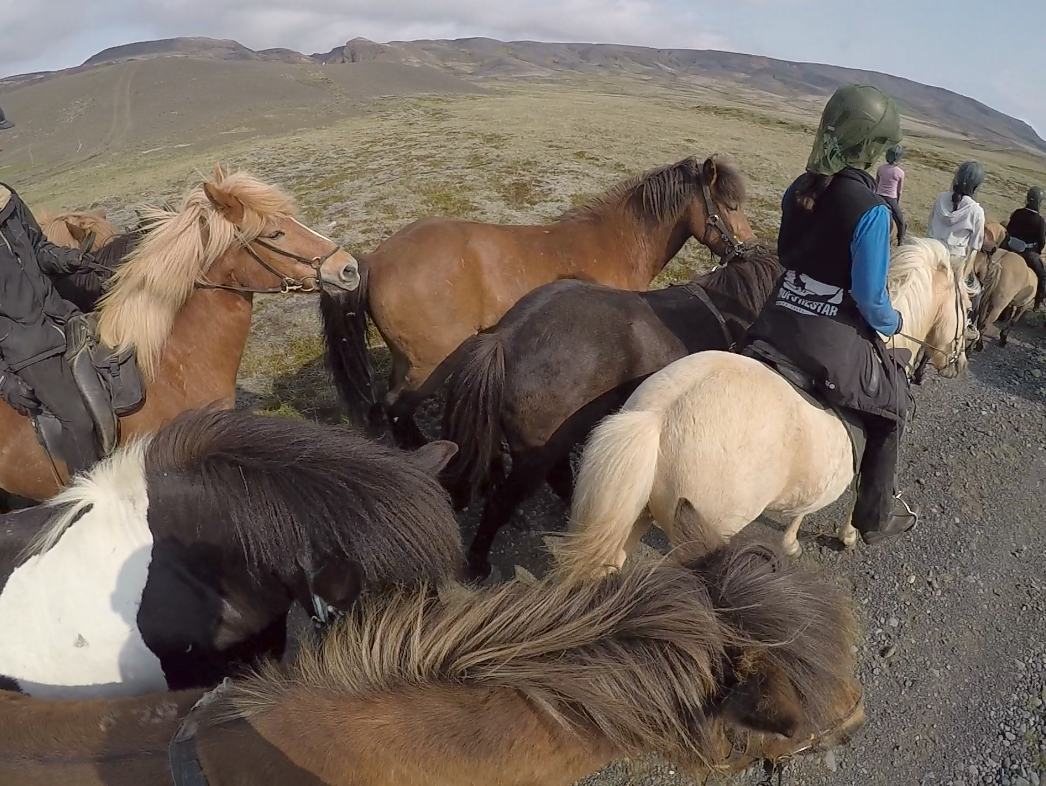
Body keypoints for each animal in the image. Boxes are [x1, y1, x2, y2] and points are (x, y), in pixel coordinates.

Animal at [320, 155, 756, 446]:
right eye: (730, 205)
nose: (749, 250)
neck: (614, 242)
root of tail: (374, 259)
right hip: (429, 365)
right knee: (397, 406)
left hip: (407, 360)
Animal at [558, 238, 978, 575]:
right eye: (967, 305)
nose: (961, 360)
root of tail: (656, 420)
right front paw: (849, 535)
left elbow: (806, 503)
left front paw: (790, 541)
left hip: (635, 516)